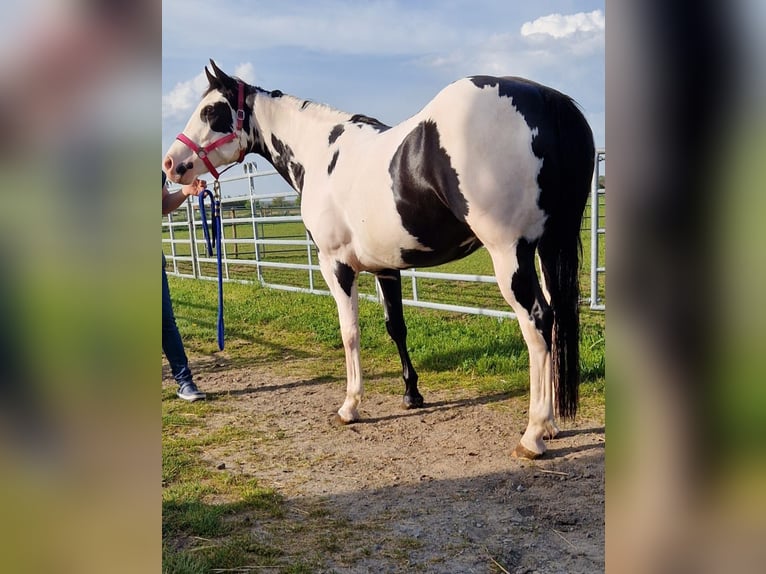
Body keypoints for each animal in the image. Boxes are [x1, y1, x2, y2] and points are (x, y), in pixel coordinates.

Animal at [165, 62, 596, 460]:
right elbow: (396, 328)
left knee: (537, 320)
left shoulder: (335, 266)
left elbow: (350, 332)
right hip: (547, 247)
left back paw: (534, 434)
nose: (171, 164)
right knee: (556, 317)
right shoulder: (386, 267)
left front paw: (350, 405)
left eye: (211, 112)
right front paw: (412, 395)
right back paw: (552, 423)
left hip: (510, 253)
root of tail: (542, 98)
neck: (321, 153)